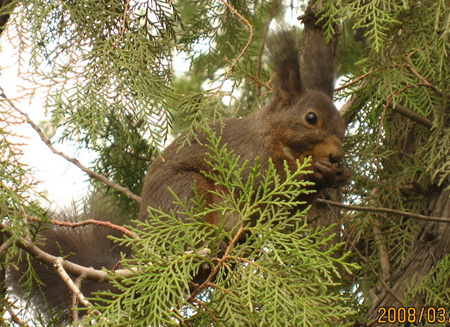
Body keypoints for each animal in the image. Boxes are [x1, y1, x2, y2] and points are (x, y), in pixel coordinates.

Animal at [7, 11, 352, 326]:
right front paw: (314, 173)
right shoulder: (244, 156)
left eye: (342, 123)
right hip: (186, 194)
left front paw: (338, 175)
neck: (274, 135)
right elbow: (262, 183)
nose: (337, 154)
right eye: (311, 118)